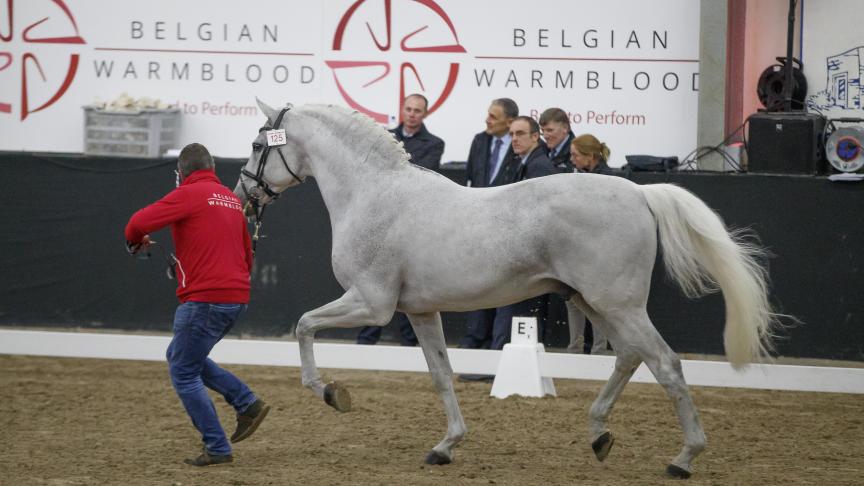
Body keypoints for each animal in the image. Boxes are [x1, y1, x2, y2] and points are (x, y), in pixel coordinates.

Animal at [236, 99, 776, 478]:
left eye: (259, 147)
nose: (243, 194)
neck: (375, 194)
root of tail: (639, 192)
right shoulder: (420, 312)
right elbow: (441, 374)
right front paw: (446, 446)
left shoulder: (371, 305)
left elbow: (304, 326)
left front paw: (331, 392)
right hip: (594, 302)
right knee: (629, 357)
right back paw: (599, 435)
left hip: (617, 304)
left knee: (664, 363)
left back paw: (683, 458)